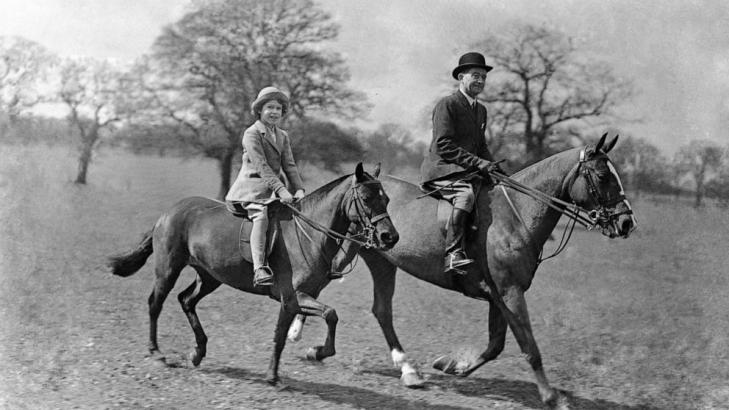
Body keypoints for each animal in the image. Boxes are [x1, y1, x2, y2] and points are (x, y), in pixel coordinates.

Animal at [106, 163, 398, 384]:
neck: (309, 234)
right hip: (168, 269)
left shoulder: (305, 297)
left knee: (186, 300)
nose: (390, 237)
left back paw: (197, 352)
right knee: (155, 303)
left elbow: (327, 316)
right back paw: (157, 352)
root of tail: (168, 213)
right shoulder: (291, 298)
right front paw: (275, 374)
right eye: (366, 198)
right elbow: (288, 332)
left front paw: (316, 353)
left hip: (210, 276)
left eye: (386, 199)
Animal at [288, 134, 636, 406]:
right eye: (603, 176)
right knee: (320, 285)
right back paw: (302, 335)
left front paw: (453, 366)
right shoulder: (510, 292)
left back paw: (406, 369)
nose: (626, 223)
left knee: (379, 310)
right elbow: (529, 346)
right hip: (352, 252)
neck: (515, 215)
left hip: (383, 262)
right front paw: (551, 397)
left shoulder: (500, 295)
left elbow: (496, 345)